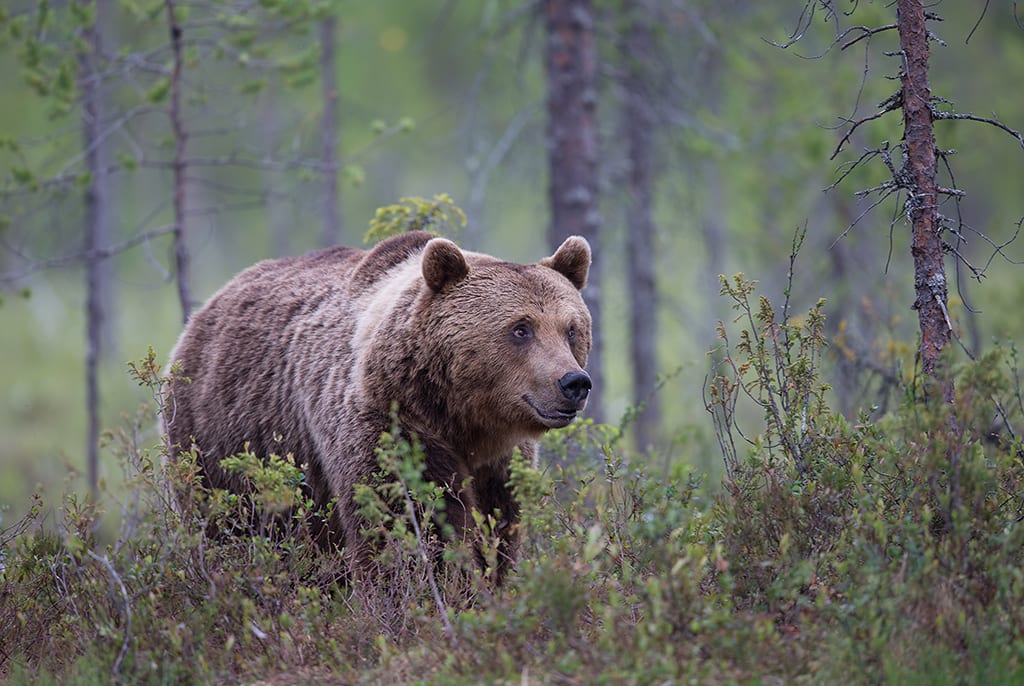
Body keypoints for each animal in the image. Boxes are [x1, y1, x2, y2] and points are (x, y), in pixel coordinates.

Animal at [164, 231, 598, 581]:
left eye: (571, 329)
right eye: (521, 328)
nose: (573, 382)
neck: (462, 417)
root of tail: (203, 311)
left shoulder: (501, 463)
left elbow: (498, 529)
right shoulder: (389, 426)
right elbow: (407, 520)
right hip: (221, 443)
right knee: (231, 527)